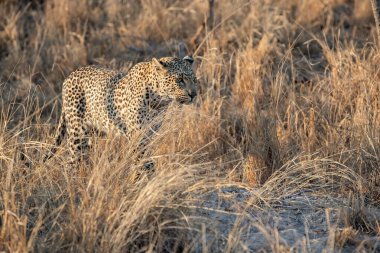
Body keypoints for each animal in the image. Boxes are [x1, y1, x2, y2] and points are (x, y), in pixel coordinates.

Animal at [44, 55, 197, 168]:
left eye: (194, 80)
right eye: (180, 80)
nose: (194, 94)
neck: (158, 102)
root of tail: (69, 76)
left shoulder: (149, 134)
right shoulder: (137, 135)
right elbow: (142, 159)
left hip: (94, 132)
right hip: (77, 133)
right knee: (71, 161)